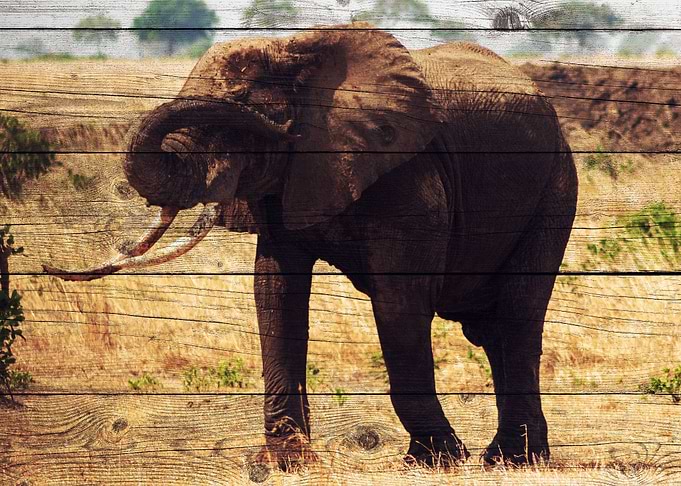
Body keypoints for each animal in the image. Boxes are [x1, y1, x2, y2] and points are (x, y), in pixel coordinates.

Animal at [45, 23, 578, 469]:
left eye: (245, 113)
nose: (49, 268)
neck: (297, 50)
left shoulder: (410, 175)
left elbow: (399, 300)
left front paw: (435, 460)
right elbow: (276, 292)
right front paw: (285, 462)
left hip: (555, 186)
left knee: (517, 314)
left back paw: (513, 460)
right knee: (493, 328)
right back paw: (507, 457)